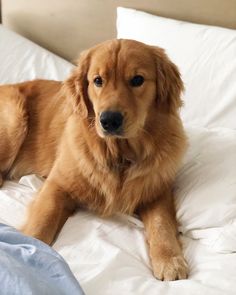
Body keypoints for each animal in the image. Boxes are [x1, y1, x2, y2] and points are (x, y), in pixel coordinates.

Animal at [0, 40, 188, 282]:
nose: (109, 120)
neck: (118, 153)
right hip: (14, 116)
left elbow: (161, 223)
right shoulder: (57, 185)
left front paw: (169, 259)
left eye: (137, 80)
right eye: (98, 81)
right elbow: (42, 222)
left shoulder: (158, 190)